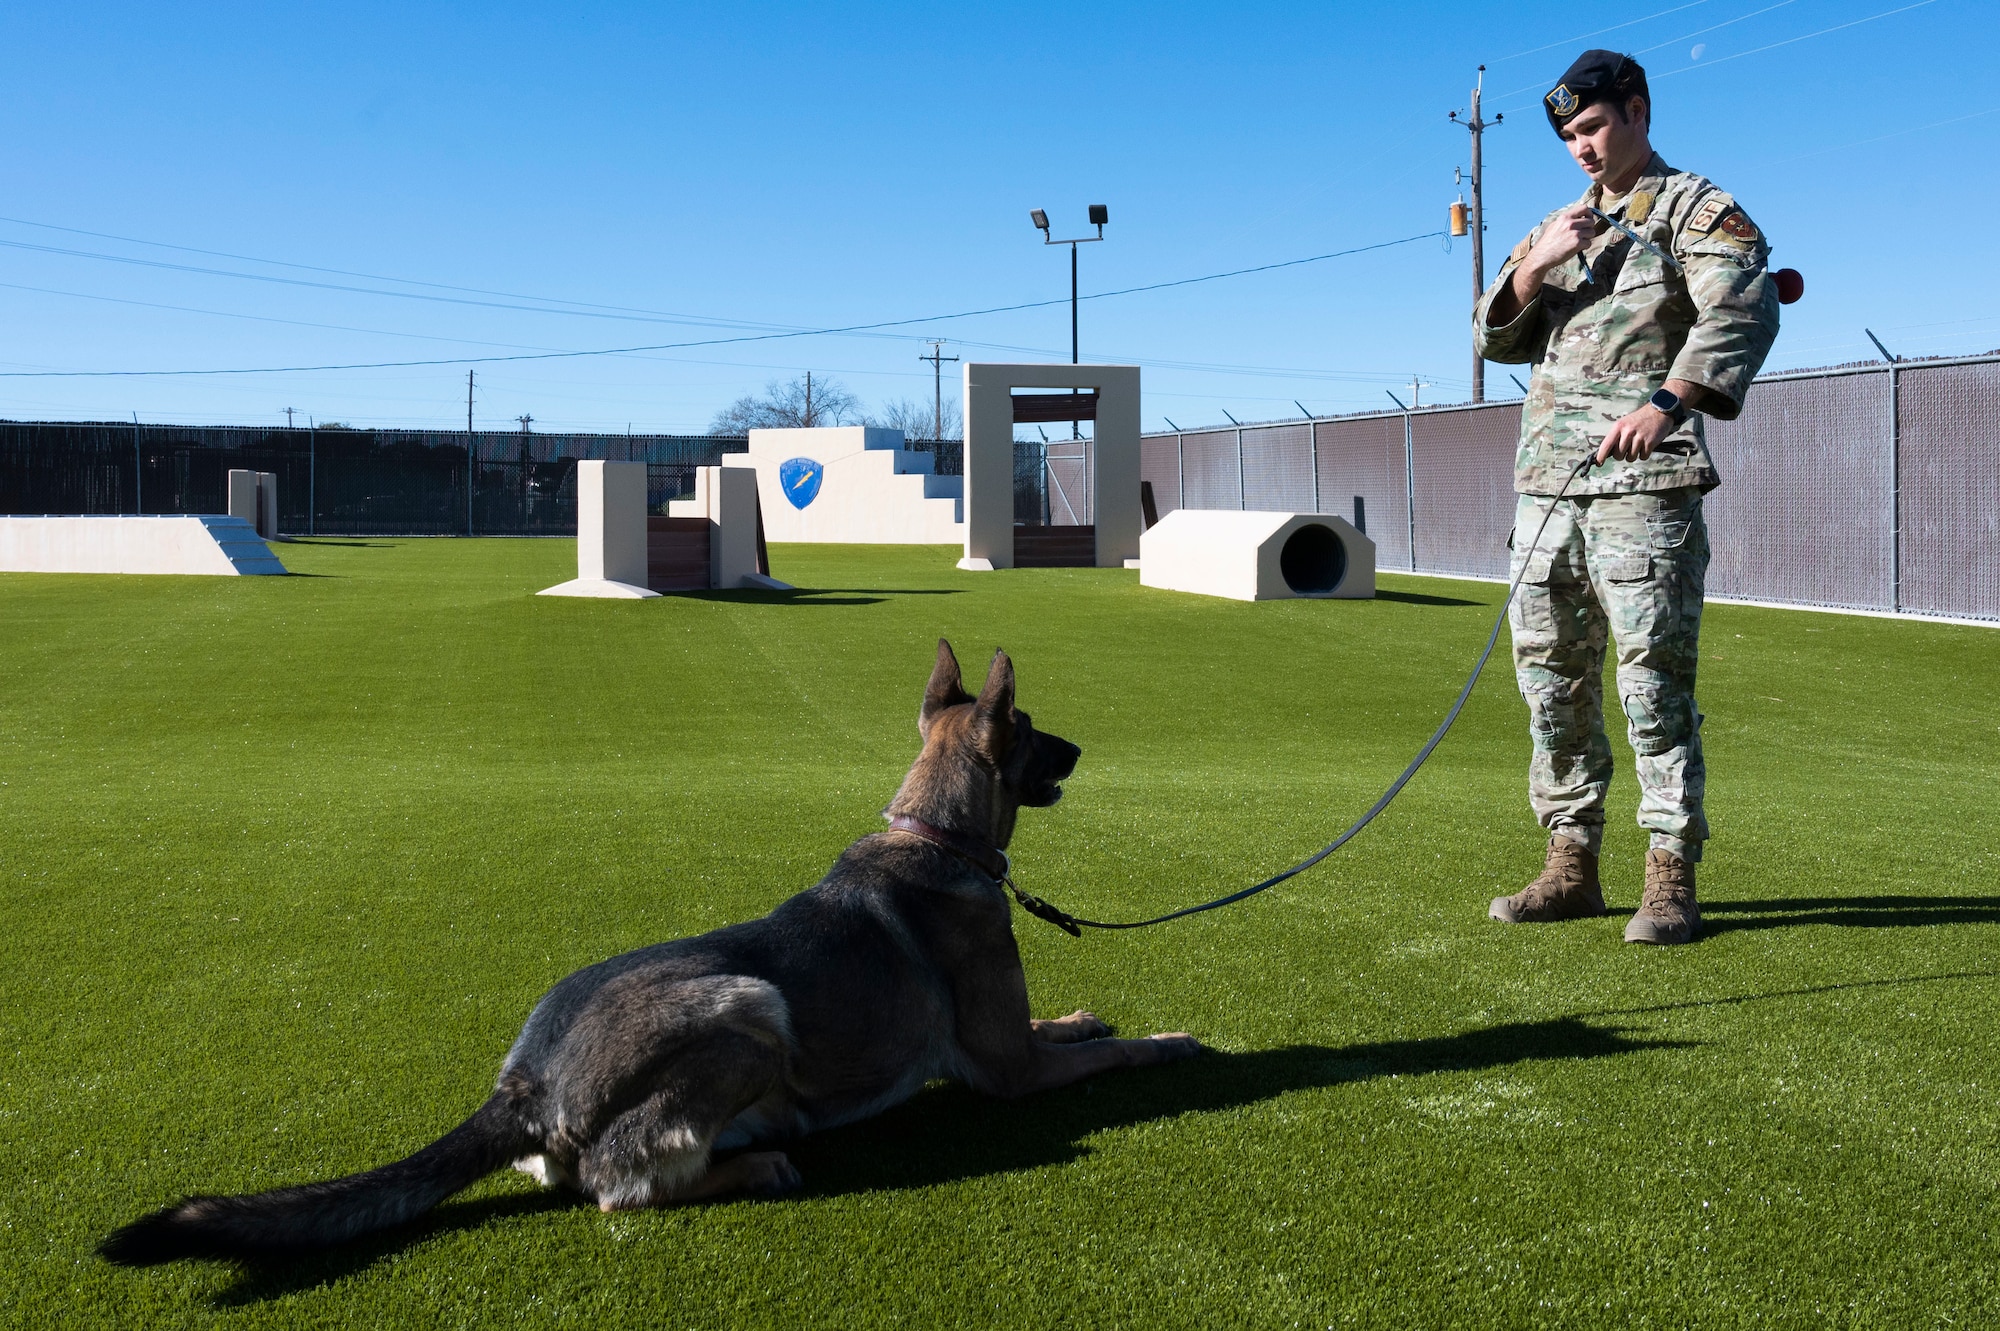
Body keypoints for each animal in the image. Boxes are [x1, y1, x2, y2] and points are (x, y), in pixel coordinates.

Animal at [101, 639, 1200, 1263]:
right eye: (1035, 728)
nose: (1081, 750)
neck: (933, 832)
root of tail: (526, 1082)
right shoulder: (1007, 1070)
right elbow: (1114, 1052)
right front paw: (1171, 1040)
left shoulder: (1008, 1039)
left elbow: (1067, 1023)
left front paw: (1086, 1010)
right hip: (748, 1003)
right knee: (622, 1182)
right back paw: (759, 1164)